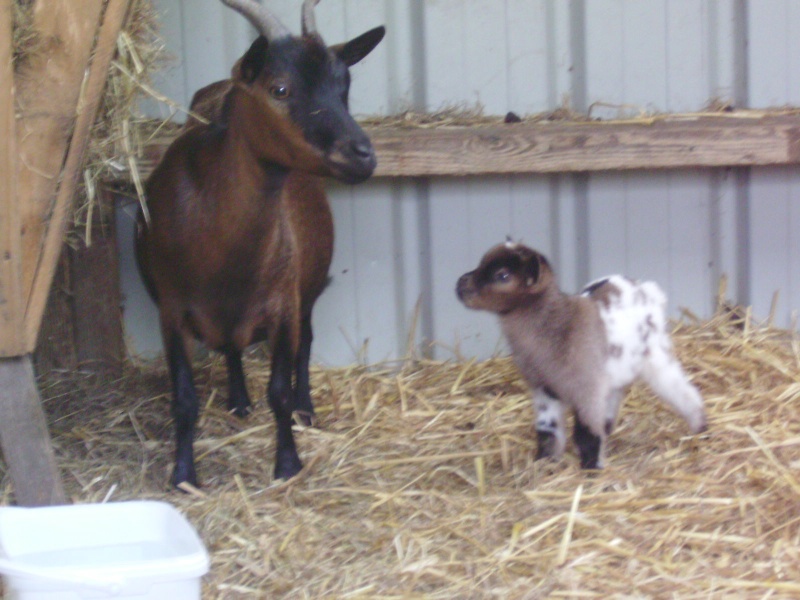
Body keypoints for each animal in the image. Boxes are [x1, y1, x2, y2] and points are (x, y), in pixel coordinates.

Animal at [136, 0, 386, 488]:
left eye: (343, 85)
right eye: (280, 88)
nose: (362, 154)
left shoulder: (284, 305)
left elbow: (280, 391)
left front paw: (287, 463)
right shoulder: (170, 311)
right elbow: (184, 398)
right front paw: (183, 473)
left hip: (307, 288)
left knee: (305, 344)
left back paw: (306, 408)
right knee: (232, 349)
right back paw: (237, 400)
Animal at [456, 243, 708, 468]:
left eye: (503, 275)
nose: (460, 285)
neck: (558, 326)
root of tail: (646, 288)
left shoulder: (586, 387)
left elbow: (586, 432)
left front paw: (590, 468)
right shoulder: (543, 387)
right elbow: (547, 429)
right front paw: (544, 463)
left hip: (654, 352)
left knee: (681, 389)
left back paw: (701, 428)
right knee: (615, 395)